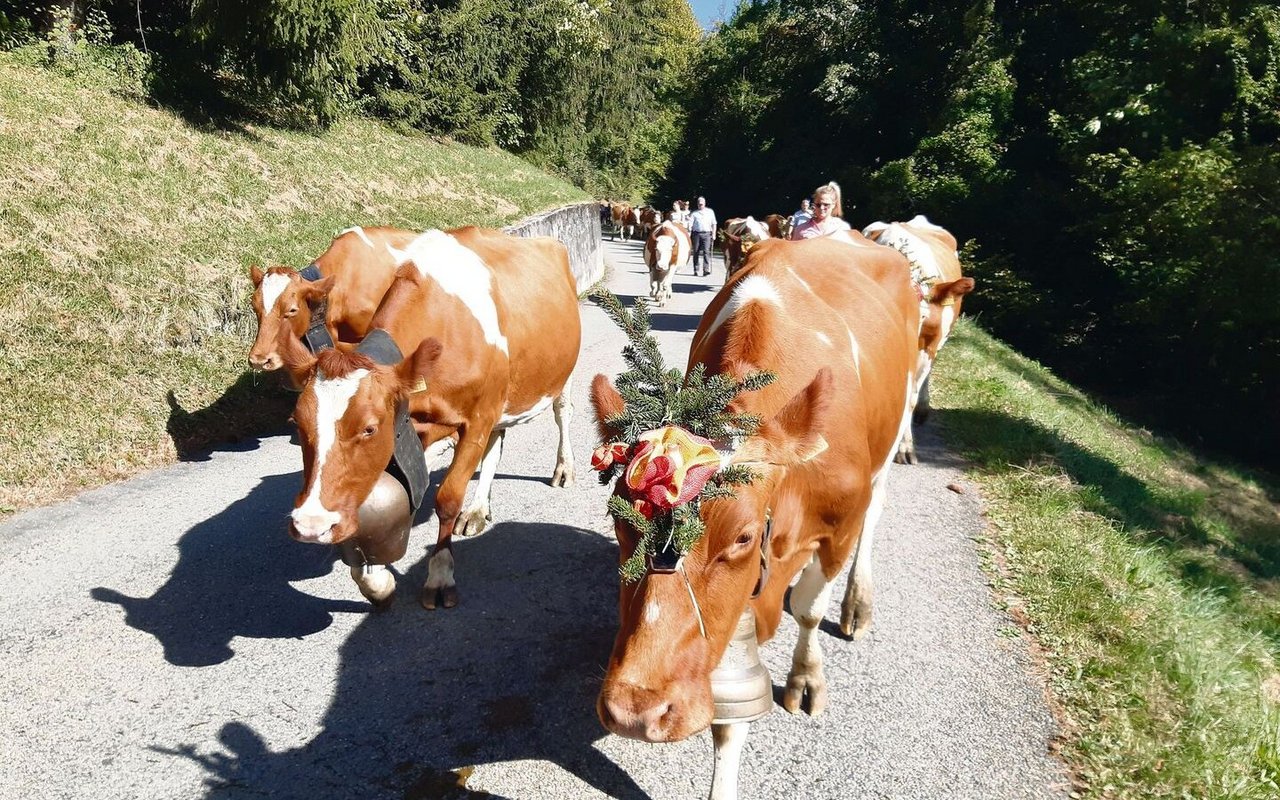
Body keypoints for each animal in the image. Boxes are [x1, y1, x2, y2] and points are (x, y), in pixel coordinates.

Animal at [288, 227, 583, 609]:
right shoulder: (415, 430)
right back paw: (478, 509)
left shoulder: (476, 418)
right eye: (297, 423)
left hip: (562, 373)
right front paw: (376, 582)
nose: (310, 525)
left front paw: (440, 576)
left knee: (562, 414)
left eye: (369, 428)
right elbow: (385, 509)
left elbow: (446, 500)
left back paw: (563, 469)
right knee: (496, 442)